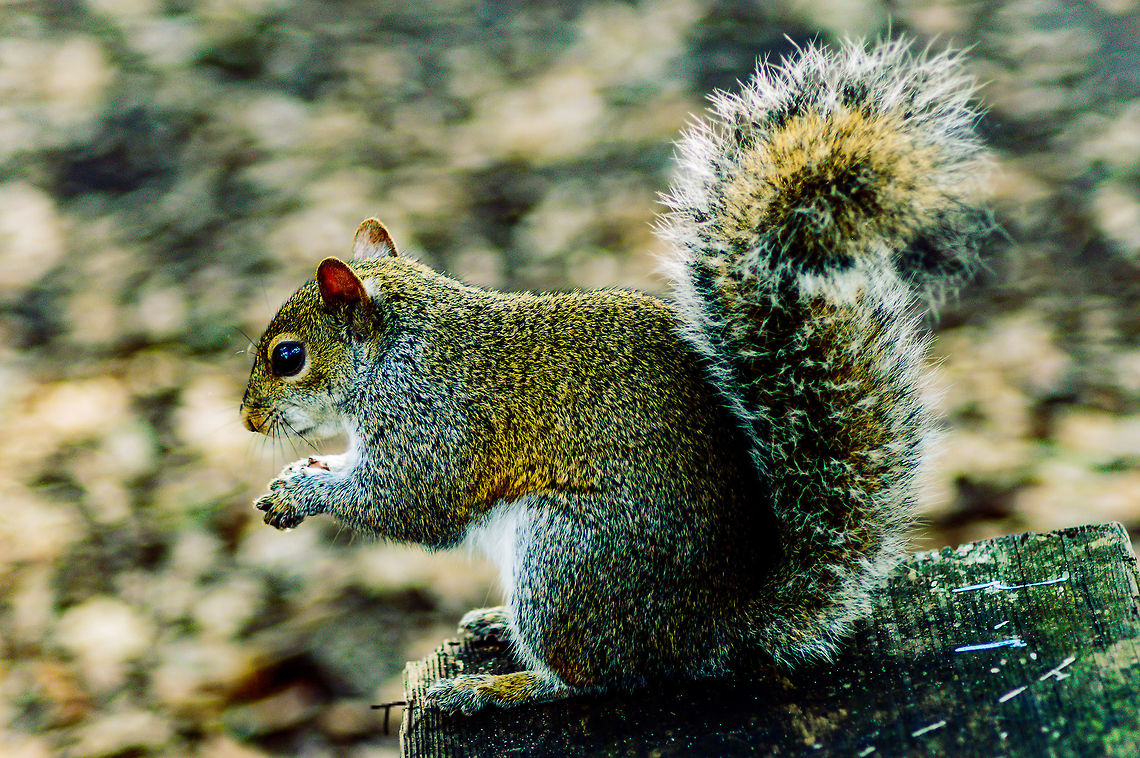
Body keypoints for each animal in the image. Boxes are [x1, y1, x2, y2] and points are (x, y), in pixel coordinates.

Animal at [240, 39, 989, 715]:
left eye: (288, 357)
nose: (247, 419)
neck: (399, 349)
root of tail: (712, 631)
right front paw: (299, 474)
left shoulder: (435, 424)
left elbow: (406, 501)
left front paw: (301, 492)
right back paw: (493, 626)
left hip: (565, 559)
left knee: (591, 679)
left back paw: (496, 688)